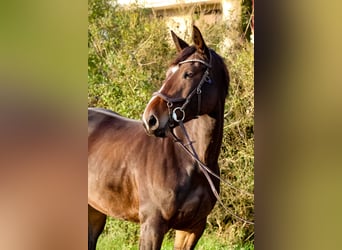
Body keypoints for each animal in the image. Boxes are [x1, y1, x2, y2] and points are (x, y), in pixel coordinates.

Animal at [88, 26, 228, 249]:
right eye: (167, 73)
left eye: (188, 74)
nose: (150, 119)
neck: (192, 161)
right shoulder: (152, 225)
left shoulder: (193, 228)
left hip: (94, 211)